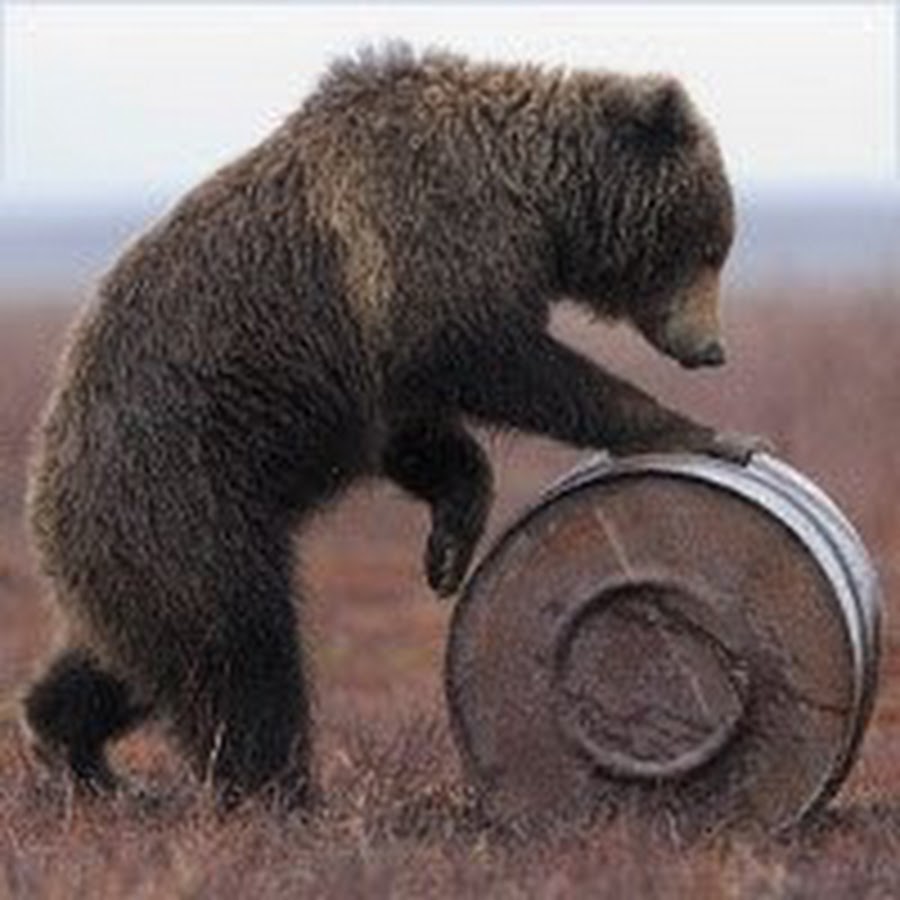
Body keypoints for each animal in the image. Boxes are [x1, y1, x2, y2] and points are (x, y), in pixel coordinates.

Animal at [23, 45, 752, 811]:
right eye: (710, 246)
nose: (712, 350)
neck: (532, 200)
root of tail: (44, 487)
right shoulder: (424, 238)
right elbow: (483, 352)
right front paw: (694, 429)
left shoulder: (375, 371)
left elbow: (420, 436)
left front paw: (450, 547)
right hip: (187, 490)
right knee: (239, 650)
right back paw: (280, 790)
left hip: (148, 539)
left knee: (127, 654)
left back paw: (74, 747)